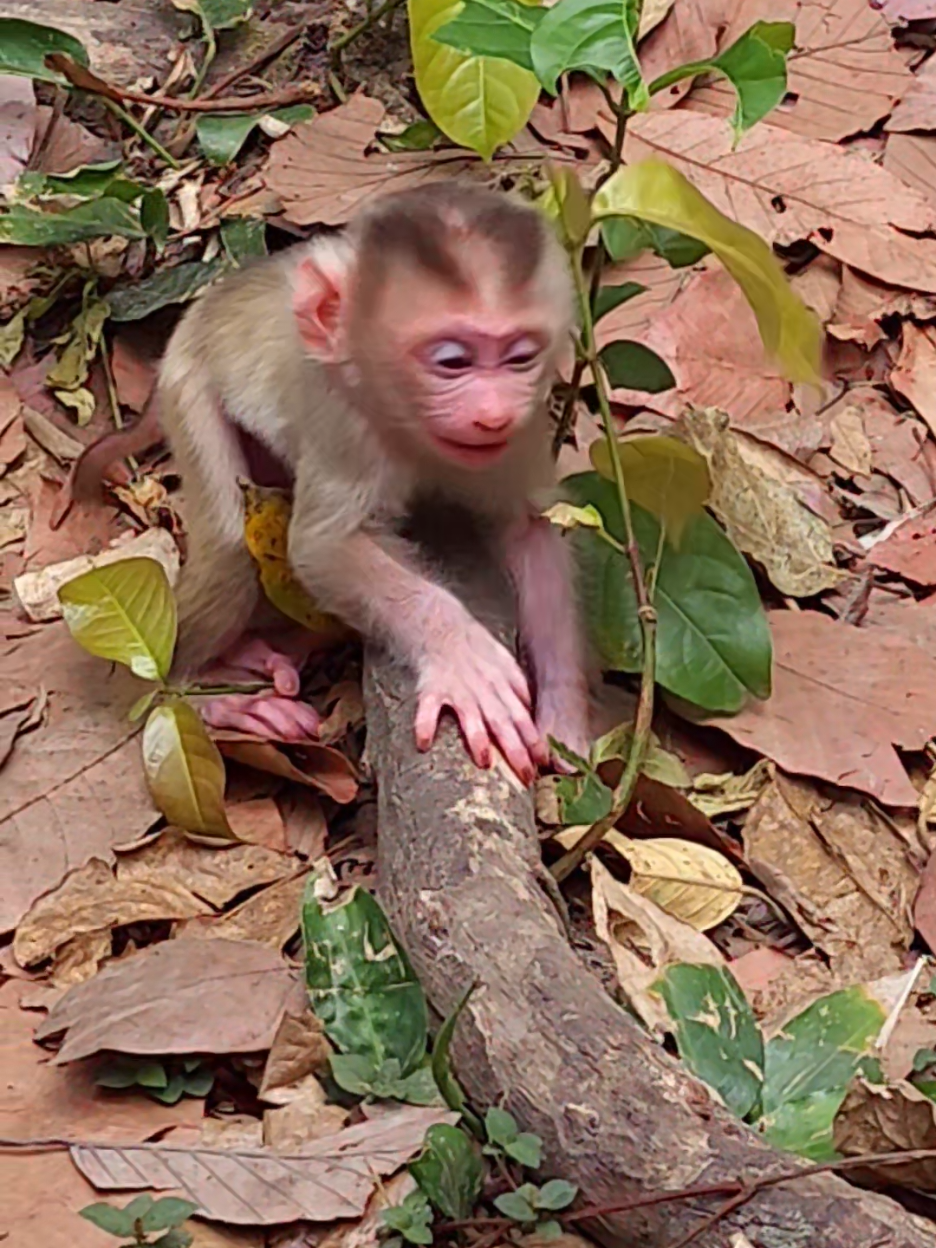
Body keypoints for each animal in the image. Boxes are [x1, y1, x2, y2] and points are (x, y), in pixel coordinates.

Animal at [70, 182, 591, 785]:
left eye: (520, 357)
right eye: (453, 362)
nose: (493, 415)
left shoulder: (525, 426)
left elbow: (530, 527)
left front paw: (565, 707)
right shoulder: (345, 422)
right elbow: (322, 547)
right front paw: (461, 654)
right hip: (187, 385)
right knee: (229, 545)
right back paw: (201, 689)